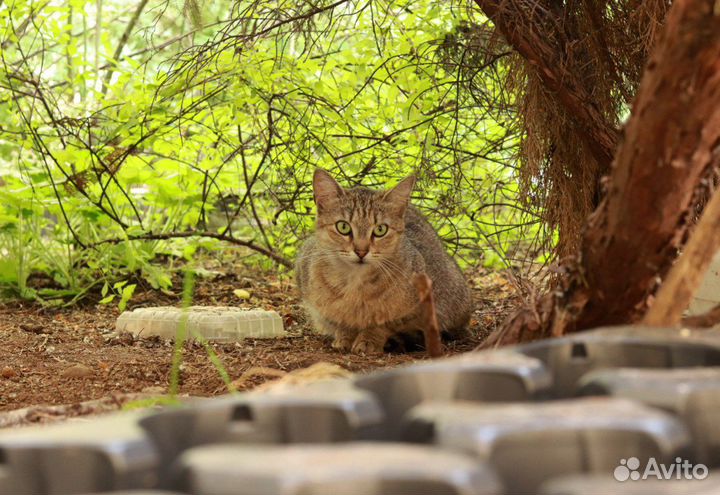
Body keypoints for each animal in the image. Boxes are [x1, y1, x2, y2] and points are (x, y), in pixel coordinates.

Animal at [294, 171, 472, 356]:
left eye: (380, 230)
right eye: (343, 227)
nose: (361, 251)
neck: (355, 284)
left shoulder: (418, 304)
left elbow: (384, 323)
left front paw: (369, 339)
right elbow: (341, 320)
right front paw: (345, 337)